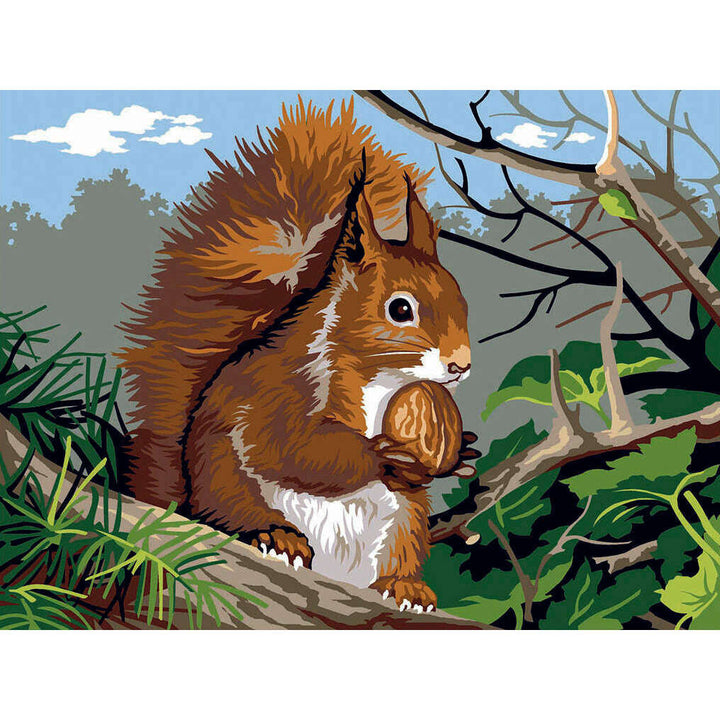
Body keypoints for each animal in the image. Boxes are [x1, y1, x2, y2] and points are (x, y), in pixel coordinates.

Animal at [119, 98, 473, 612]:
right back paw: (276, 536)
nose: (460, 365)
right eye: (400, 309)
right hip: (226, 483)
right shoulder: (279, 388)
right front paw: (380, 453)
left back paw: (405, 587)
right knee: (236, 511)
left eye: (462, 298)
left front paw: (462, 453)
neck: (382, 381)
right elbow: (290, 446)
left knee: (400, 552)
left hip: (404, 522)